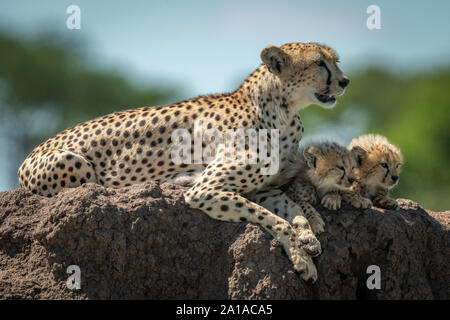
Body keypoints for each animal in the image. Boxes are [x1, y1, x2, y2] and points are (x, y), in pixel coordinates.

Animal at [18, 42, 348, 280]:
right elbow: (276, 221)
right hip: (76, 163)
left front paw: (308, 238)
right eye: (319, 63)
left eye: (336, 60)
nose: (345, 81)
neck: (282, 111)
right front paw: (302, 257)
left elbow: (292, 211)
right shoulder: (206, 190)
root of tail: (28, 157)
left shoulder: (261, 189)